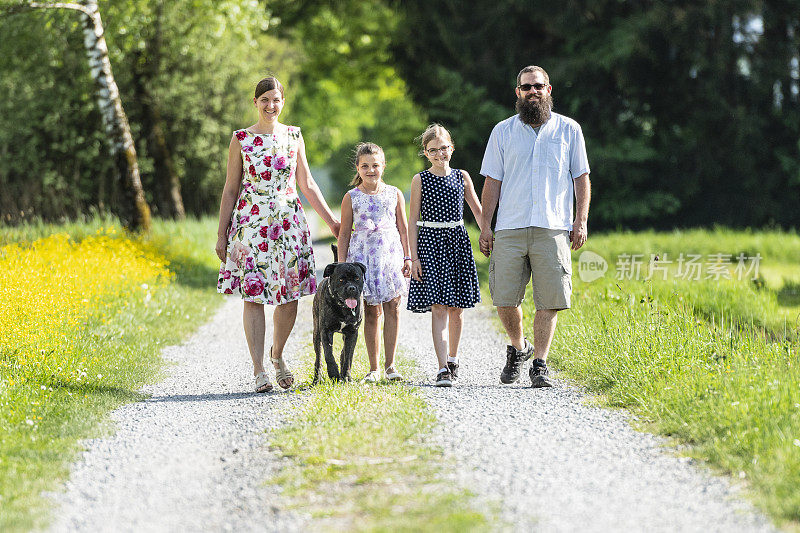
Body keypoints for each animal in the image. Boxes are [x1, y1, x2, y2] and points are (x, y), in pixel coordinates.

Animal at [312, 243, 366, 384]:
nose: (352, 288)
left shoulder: (352, 333)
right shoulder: (325, 331)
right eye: (341, 280)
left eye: (357, 278)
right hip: (316, 333)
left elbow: (348, 356)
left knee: (344, 353)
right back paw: (316, 380)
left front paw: (346, 376)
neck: (343, 308)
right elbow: (328, 355)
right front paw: (334, 374)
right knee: (318, 358)